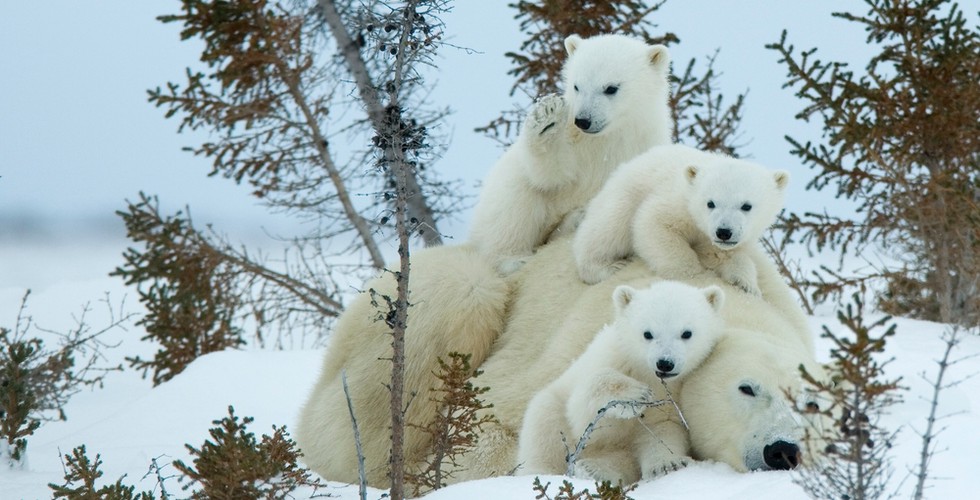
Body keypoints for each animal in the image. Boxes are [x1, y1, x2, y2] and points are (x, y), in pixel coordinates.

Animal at [468, 33, 672, 275]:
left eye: (611, 88)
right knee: (514, 204)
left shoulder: (643, 145)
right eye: (577, 86)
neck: (608, 138)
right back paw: (513, 259)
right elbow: (551, 175)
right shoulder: (574, 141)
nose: (583, 120)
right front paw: (546, 120)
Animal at [517, 281, 725, 484]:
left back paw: (594, 469)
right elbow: (582, 410)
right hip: (551, 408)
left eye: (687, 333)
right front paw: (636, 395)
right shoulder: (612, 358)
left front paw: (668, 465)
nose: (665, 363)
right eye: (647, 333)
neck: (647, 373)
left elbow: (662, 428)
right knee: (545, 429)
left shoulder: (677, 391)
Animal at [572, 144, 790, 297]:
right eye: (710, 203)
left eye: (746, 206)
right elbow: (653, 224)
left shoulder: (712, 238)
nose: (723, 232)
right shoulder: (676, 202)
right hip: (621, 198)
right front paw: (692, 276)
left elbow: (723, 254)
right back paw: (607, 266)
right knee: (607, 229)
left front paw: (746, 284)